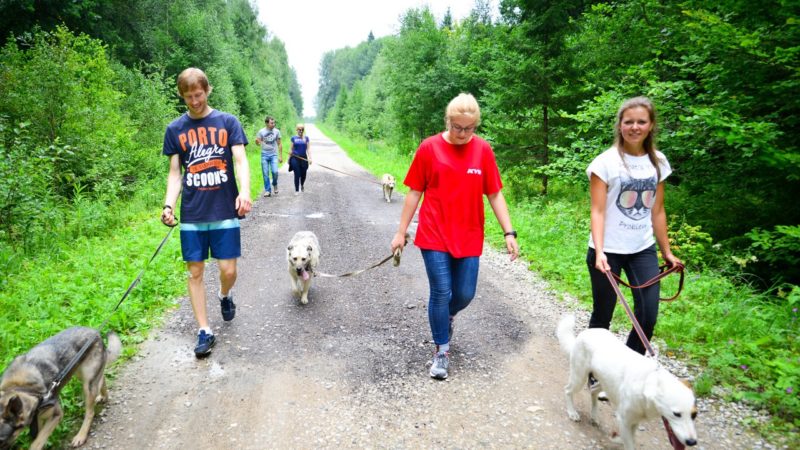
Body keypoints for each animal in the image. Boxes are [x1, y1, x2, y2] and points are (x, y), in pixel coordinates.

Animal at [552, 314, 696, 450]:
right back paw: (572, 413)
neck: (646, 384)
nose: (692, 442)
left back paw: (594, 415)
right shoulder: (624, 420)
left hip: (605, 382)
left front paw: (617, 438)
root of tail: (586, 333)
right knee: (568, 390)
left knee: (593, 390)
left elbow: (629, 437)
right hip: (579, 377)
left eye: (694, 415)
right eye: (676, 414)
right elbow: (629, 443)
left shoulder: (634, 420)